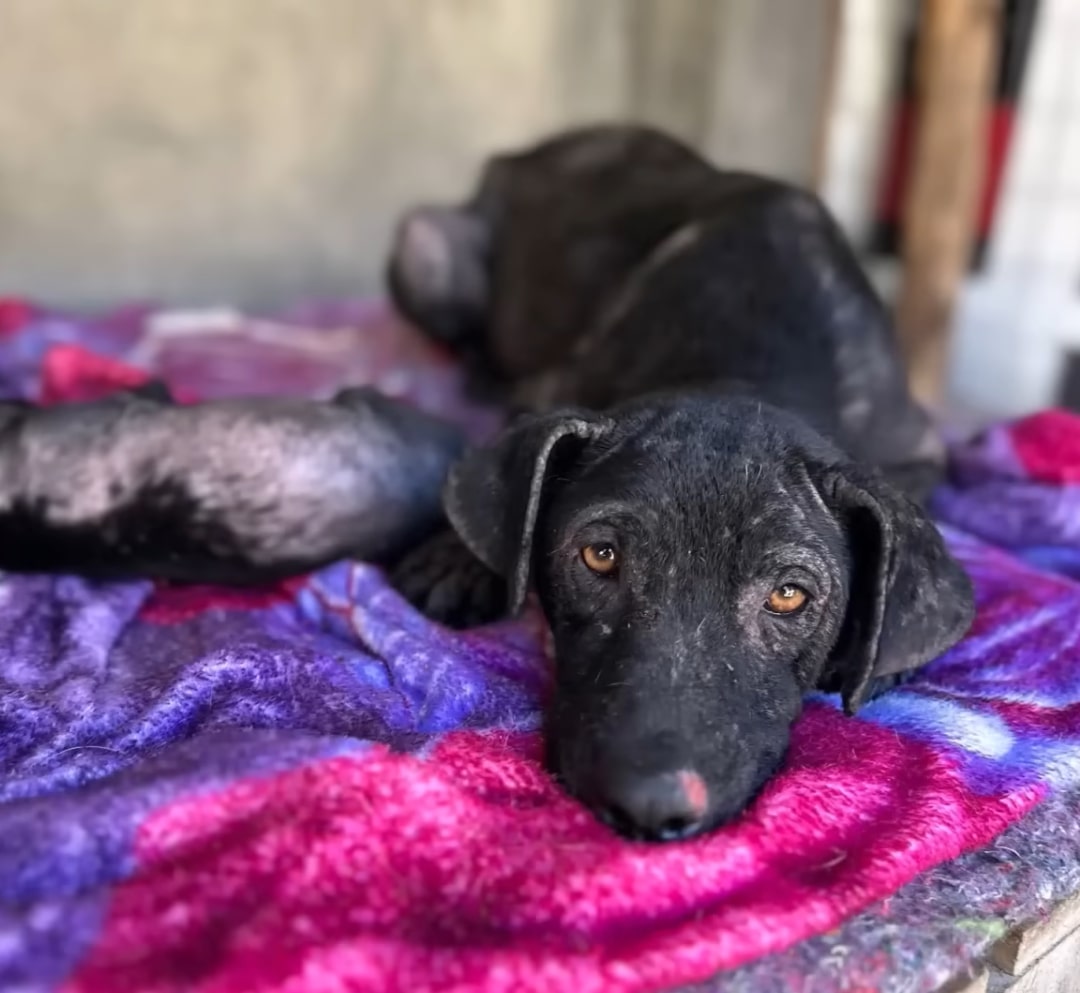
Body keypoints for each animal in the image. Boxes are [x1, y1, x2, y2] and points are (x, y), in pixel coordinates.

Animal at [384, 122, 976, 838]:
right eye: (599, 555)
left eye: (789, 596)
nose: (651, 807)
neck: (748, 362)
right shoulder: (548, 392)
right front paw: (455, 557)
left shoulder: (920, 452)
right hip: (425, 245)